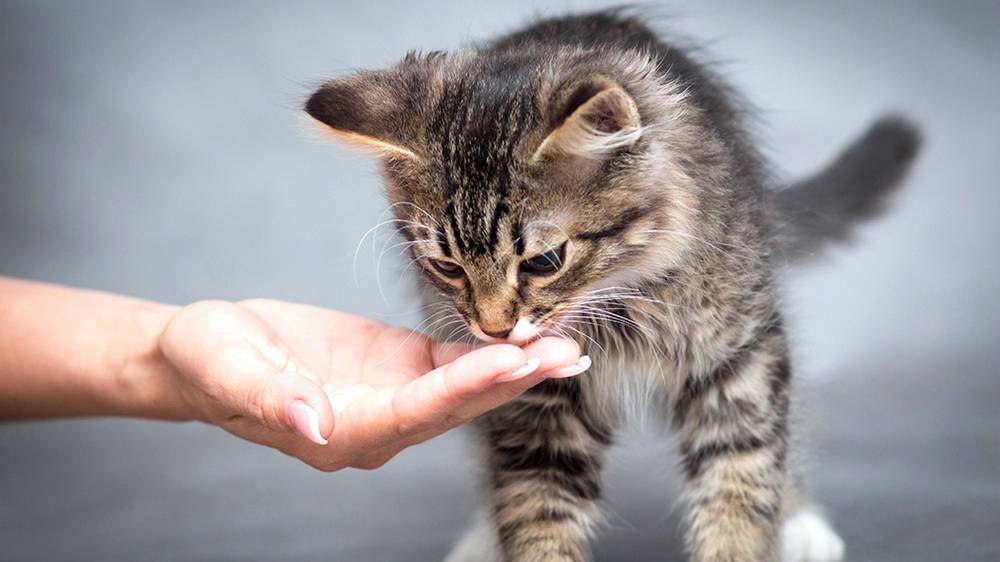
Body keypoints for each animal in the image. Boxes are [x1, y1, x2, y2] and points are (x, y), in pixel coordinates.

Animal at [306, 8, 920, 560]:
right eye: (449, 267)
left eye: (544, 261)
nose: (495, 329)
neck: (618, 305)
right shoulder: (535, 402)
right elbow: (535, 506)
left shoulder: (738, 355)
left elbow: (741, 480)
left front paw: (743, 541)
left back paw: (801, 524)